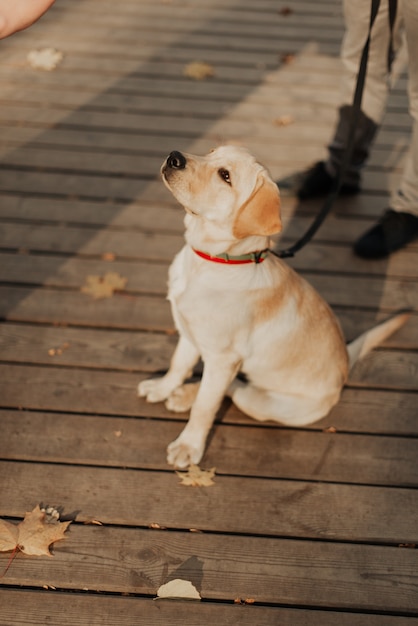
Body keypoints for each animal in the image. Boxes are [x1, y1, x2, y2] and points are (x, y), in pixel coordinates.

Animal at [137, 146, 408, 466]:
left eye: (225, 176)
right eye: (211, 152)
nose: (174, 157)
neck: (213, 261)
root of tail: (345, 363)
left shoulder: (222, 357)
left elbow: (206, 405)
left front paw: (189, 445)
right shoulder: (189, 332)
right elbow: (178, 364)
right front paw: (163, 387)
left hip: (261, 401)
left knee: (231, 389)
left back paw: (187, 397)